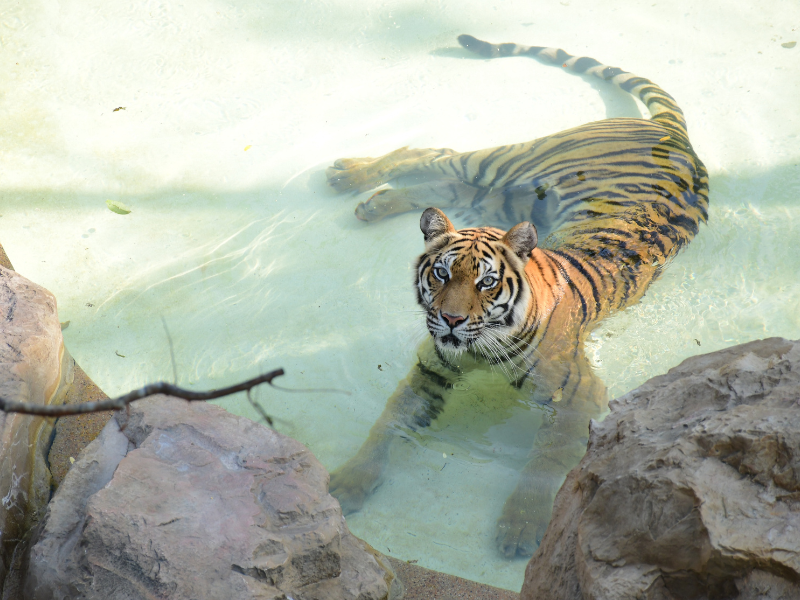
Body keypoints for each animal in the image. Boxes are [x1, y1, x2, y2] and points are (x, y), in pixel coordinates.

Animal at [326, 34, 709, 557]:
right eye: (440, 274)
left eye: (486, 282)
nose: (449, 321)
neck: (481, 344)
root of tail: (676, 135)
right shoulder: (431, 372)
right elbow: (387, 425)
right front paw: (350, 481)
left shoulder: (579, 396)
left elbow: (544, 462)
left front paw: (520, 528)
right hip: (511, 180)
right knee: (433, 156)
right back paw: (356, 180)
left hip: (509, 179)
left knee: (443, 163)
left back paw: (365, 192)